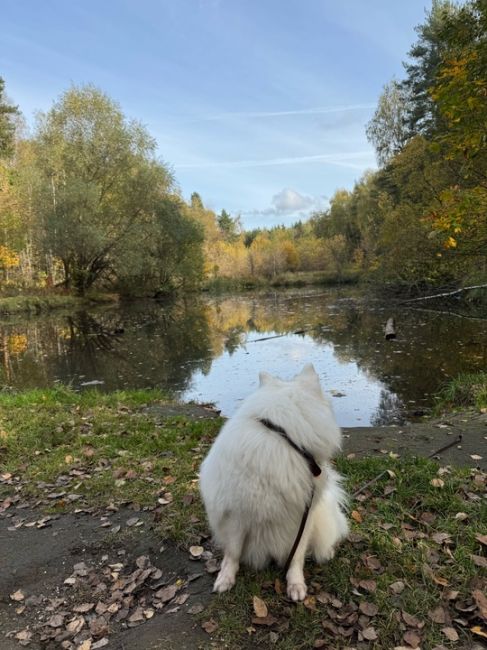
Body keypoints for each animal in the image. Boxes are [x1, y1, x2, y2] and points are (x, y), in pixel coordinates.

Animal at [200, 362, 348, 600]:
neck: (281, 435)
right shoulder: (236, 516)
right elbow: (233, 552)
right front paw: (226, 578)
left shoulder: (303, 517)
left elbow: (297, 556)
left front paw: (295, 584)